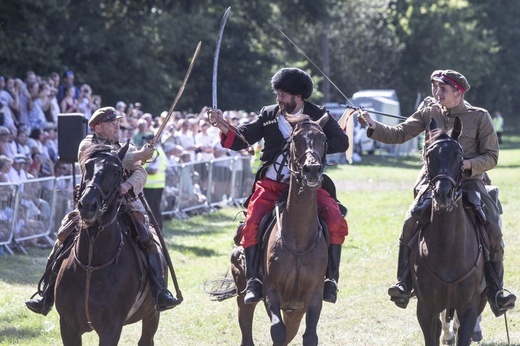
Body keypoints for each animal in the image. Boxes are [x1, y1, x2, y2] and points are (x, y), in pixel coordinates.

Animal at [410, 117, 488, 346]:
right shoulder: (426, 309)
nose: (443, 194)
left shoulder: (470, 307)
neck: (448, 251)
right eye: (429, 155)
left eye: (459, 156)